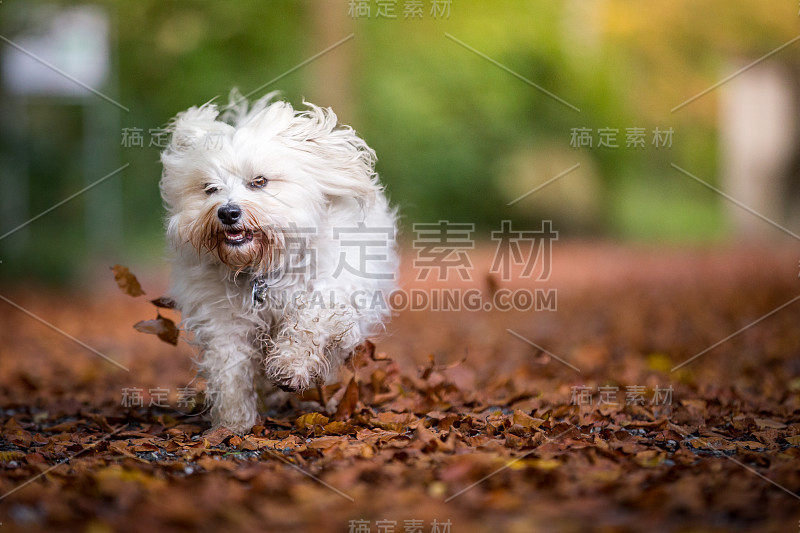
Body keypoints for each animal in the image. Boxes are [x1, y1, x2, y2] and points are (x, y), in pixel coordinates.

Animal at [159, 91, 396, 432]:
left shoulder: (334, 289)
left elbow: (310, 321)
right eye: (210, 188)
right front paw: (232, 423)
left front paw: (289, 366)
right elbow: (229, 367)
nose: (227, 212)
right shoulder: (223, 318)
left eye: (259, 181)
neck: (263, 267)